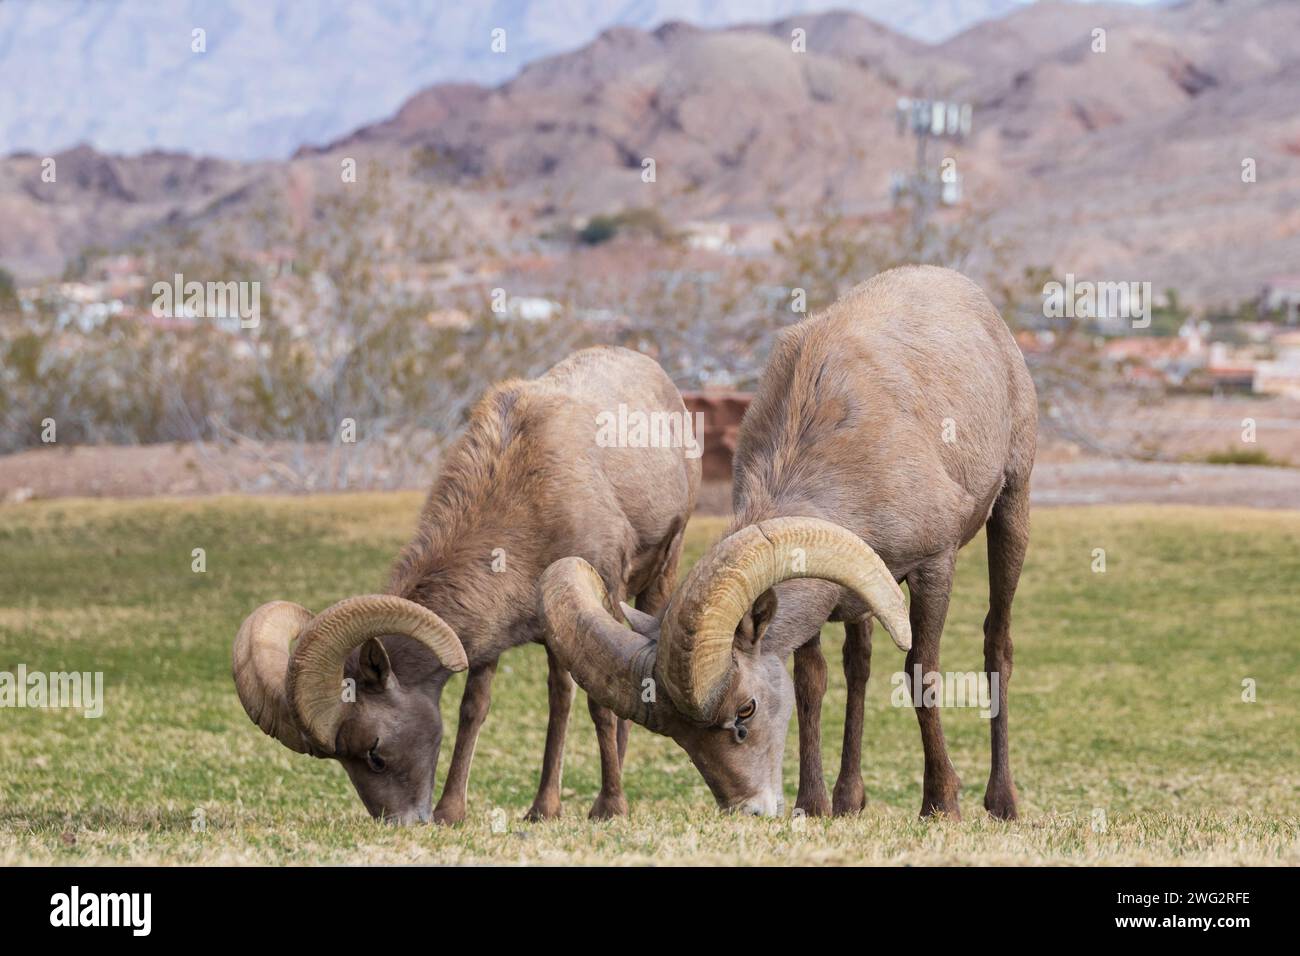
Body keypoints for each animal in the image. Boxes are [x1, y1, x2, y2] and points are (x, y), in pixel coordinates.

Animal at [233, 346, 701, 824]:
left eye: (375, 752)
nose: (401, 822)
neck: (528, 502)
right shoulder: (494, 641)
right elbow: (473, 710)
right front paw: (451, 811)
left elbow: (600, 706)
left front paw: (610, 808)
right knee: (560, 698)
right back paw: (543, 808)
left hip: (661, 570)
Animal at [539, 266, 1037, 818]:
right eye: (680, 738)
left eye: (745, 711)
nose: (749, 808)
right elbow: (812, 683)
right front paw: (813, 804)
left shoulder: (934, 566)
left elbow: (920, 671)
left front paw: (941, 803)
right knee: (859, 666)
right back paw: (848, 799)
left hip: (1012, 505)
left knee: (997, 643)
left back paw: (1003, 802)